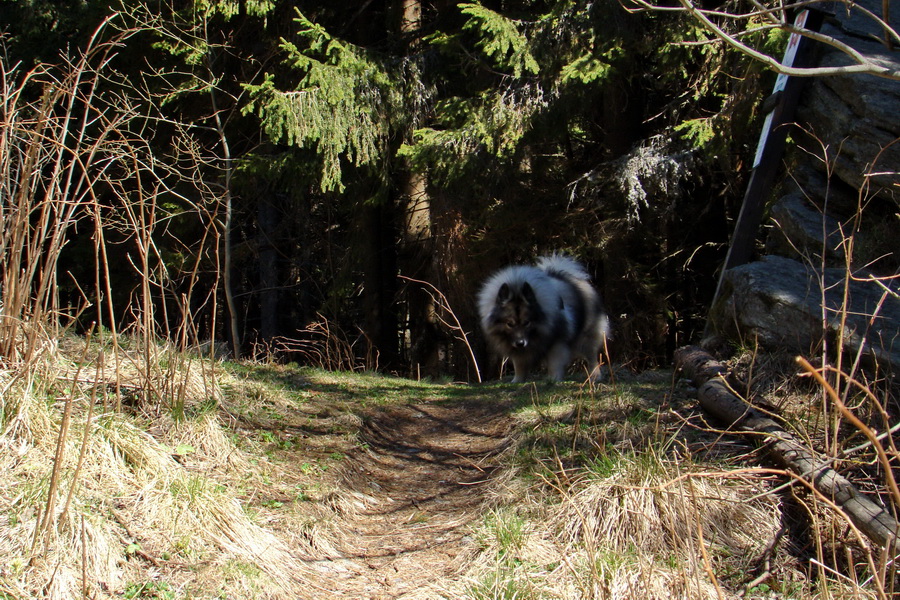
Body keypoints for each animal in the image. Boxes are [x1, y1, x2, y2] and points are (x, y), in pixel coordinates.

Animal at [474, 255, 608, 382]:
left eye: (527, 322)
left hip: (587, 337)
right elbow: (519, 365)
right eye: (509, 324)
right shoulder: (518, 351)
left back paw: (595, 376)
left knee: (592, 358)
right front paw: (517, 380)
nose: (520, 343)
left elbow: (555, 363)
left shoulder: (556, 343)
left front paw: (554, 379)